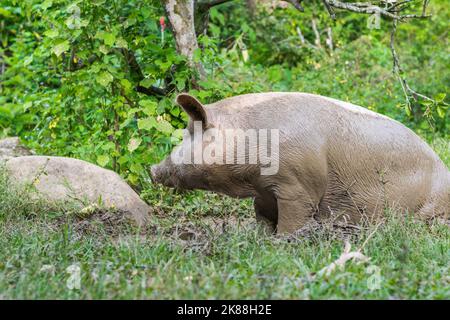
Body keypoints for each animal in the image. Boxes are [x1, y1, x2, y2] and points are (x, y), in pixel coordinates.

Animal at [151, 91, 450, 234]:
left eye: (189, 133)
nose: (152, 170)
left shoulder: (297, 185)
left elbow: (294, 216)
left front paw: (283, 241)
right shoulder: (264, 192)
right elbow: (262, 215)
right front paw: (260, 237)